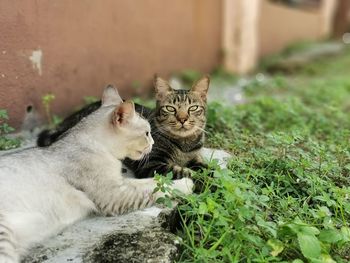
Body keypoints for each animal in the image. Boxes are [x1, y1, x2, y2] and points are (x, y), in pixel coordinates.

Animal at [0, 85, 193, 262]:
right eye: (147, 133)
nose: (152, 143)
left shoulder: (121, 183)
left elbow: (152, 181)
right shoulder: (115, 194)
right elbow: (155, 187)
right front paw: (187, 183)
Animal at [37, 75, 209, 180]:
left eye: (193, 108)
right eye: (170, 109)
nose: (182, 119)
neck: (185, 145)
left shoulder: (195, 158)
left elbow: (206, 168)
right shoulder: (151, 164)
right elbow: (187, 173)